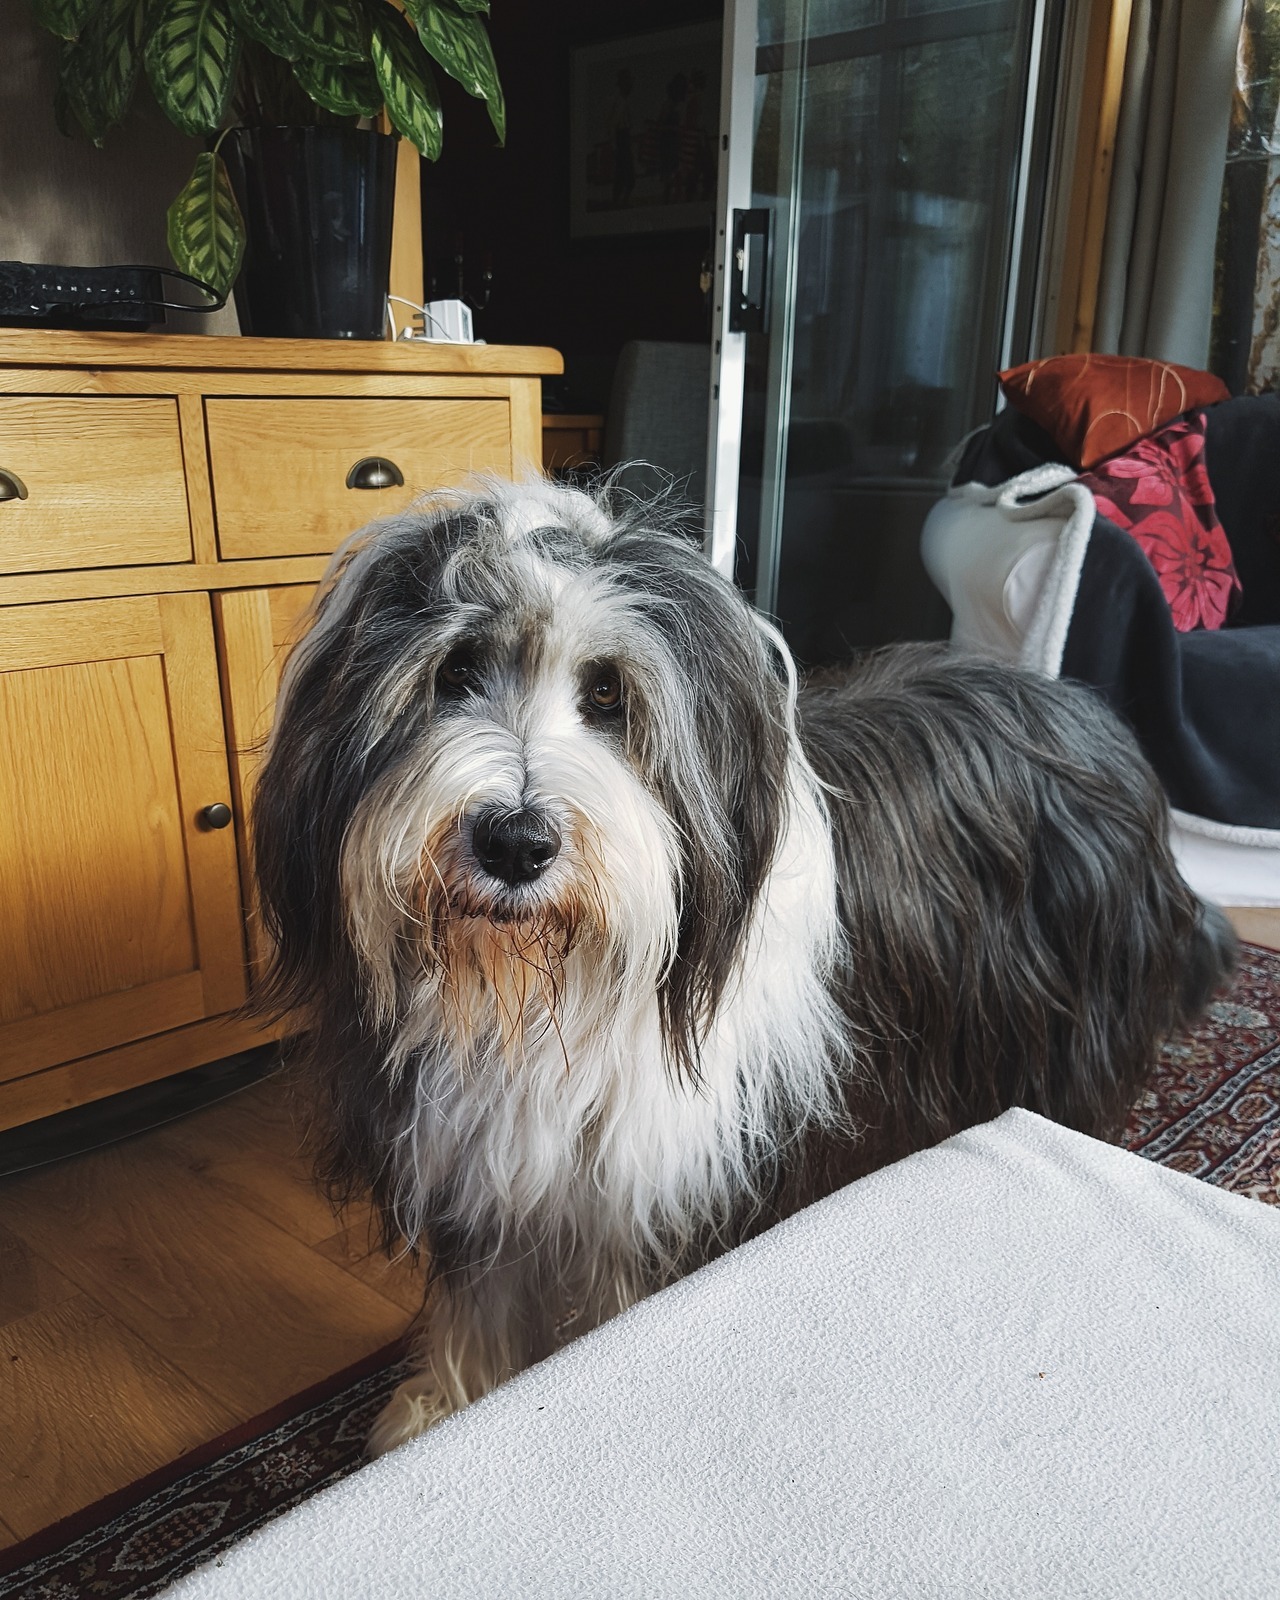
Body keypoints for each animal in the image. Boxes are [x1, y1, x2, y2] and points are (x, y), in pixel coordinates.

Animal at [248, 470, 1228, 1452]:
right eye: (454, 671)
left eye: (608, 695)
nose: (515, 842)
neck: (553, 1000)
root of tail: (1089, 714)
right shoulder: (481, 1164)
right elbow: (479, 1300)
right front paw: (442, 1412)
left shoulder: (663, 1188)